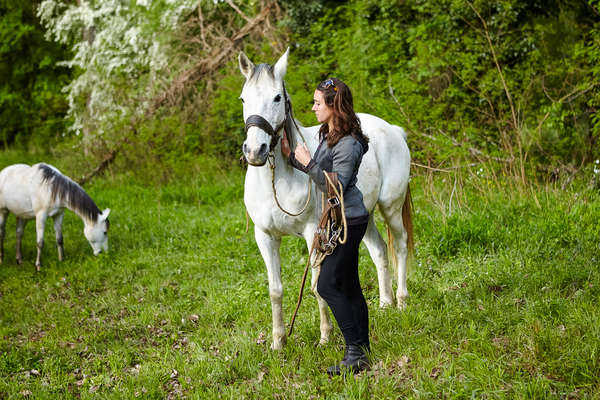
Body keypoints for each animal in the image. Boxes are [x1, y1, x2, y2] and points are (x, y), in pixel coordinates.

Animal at [238, 48, 412, 350]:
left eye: (277, 97)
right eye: (243, 99)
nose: (254, 151)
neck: (279, 178)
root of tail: (393, 130)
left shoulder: (314, 233)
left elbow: (317, 286)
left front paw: (325, 336)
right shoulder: (265, 236)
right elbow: (275, 290)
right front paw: (278, 342)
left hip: (391, 207)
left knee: (399, 245)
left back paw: (401, 302)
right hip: (363, 216)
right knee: (379, 251)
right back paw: (385, 304)